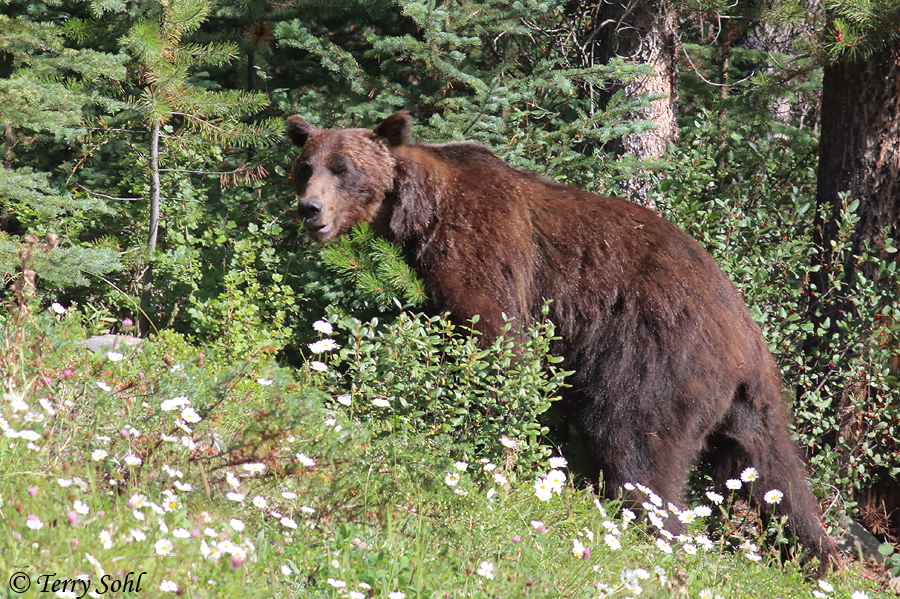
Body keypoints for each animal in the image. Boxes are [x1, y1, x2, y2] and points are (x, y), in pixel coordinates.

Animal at [286, 111, 835, 570]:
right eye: (304, 165)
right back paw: (818, 555)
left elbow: (496, 337)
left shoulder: (483, 249)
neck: (419, 214)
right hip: (752, 400)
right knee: (778, 471)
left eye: (344, 167)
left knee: (635, 441)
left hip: (657, 356)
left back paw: (654, 530)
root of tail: (742, 332)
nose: (309, 209)